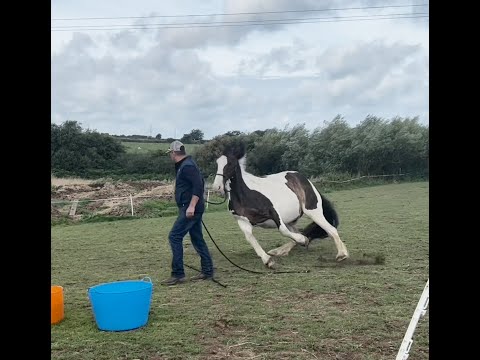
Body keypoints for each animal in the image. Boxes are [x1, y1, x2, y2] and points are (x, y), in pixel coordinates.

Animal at [210, 143, 348, 268]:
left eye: (231, 163)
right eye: (217, 163)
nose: (216, 188)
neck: (246, 195)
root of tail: (305, 180)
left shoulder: (273, 212)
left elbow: (283, 230)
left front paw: (302, 240)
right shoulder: (242, 221)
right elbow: (250, 238)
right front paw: (268, 260)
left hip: (313, 211)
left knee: (331, 229)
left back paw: (342, 254)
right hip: (291, 220)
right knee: (301, 232)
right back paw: (281, 250)